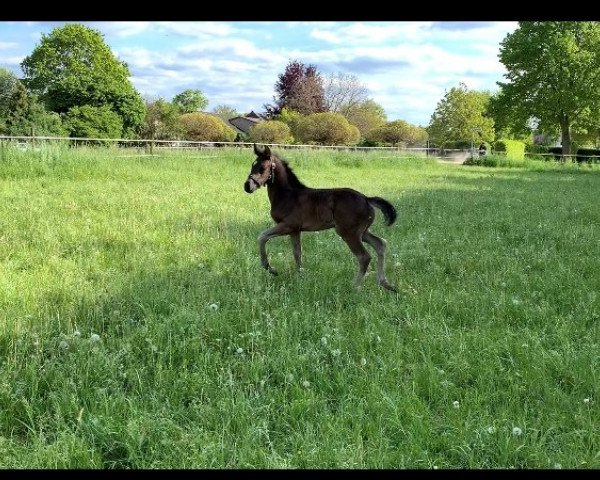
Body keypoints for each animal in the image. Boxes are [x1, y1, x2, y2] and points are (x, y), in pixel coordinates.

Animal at [244, 143, 398, 292]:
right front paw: (301, 277)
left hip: (349, 233)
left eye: (262, 168)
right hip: (362, 232)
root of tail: (366, 199)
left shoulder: (287, 225)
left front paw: (270, 268)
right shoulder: (295, 230)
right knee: (380, 244)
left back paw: (355, 287)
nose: (247, 186)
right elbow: (297, 253)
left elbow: (262, 237)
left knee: (364, 257)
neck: (288, 195)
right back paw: (385, 283)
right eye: (252, 165)